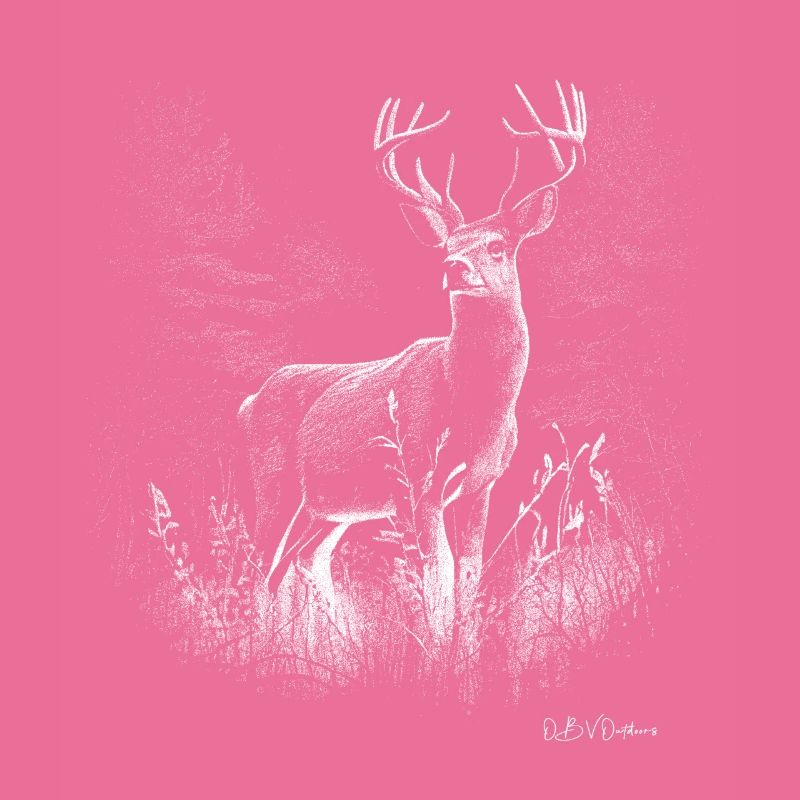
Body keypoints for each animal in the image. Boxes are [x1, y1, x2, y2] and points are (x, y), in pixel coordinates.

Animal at [238, 82, 587, 640]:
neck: (473, 408)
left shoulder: (482, 485)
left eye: (498, 245)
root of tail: (249, 402)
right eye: (446, 245)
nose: (454, 266)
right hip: (275, 483)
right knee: (261, 566)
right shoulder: (415, 478)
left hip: (328, 509)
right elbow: (436, 572)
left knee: (300, 564)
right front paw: (437, 645)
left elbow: (468, 572)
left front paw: (463, 646)